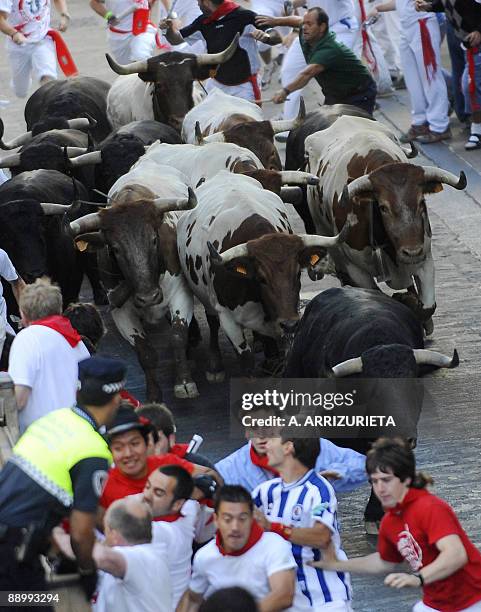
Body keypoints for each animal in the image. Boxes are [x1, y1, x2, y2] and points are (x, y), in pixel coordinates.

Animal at [69, 160, 199, 402]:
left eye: (155, 239)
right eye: (115, 249)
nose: (149, 298)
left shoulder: (181, 294)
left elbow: (177, 336)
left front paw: (185, 383)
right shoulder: (120, 312)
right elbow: (144, 352)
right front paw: (154, 394)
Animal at [176, 169, 348, 378]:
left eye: (297, 274)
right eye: (261, 279)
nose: (289, 324)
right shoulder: (227, 318)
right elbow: (246, 360)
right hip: (206, 298)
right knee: (212, 321)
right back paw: (215, 365)